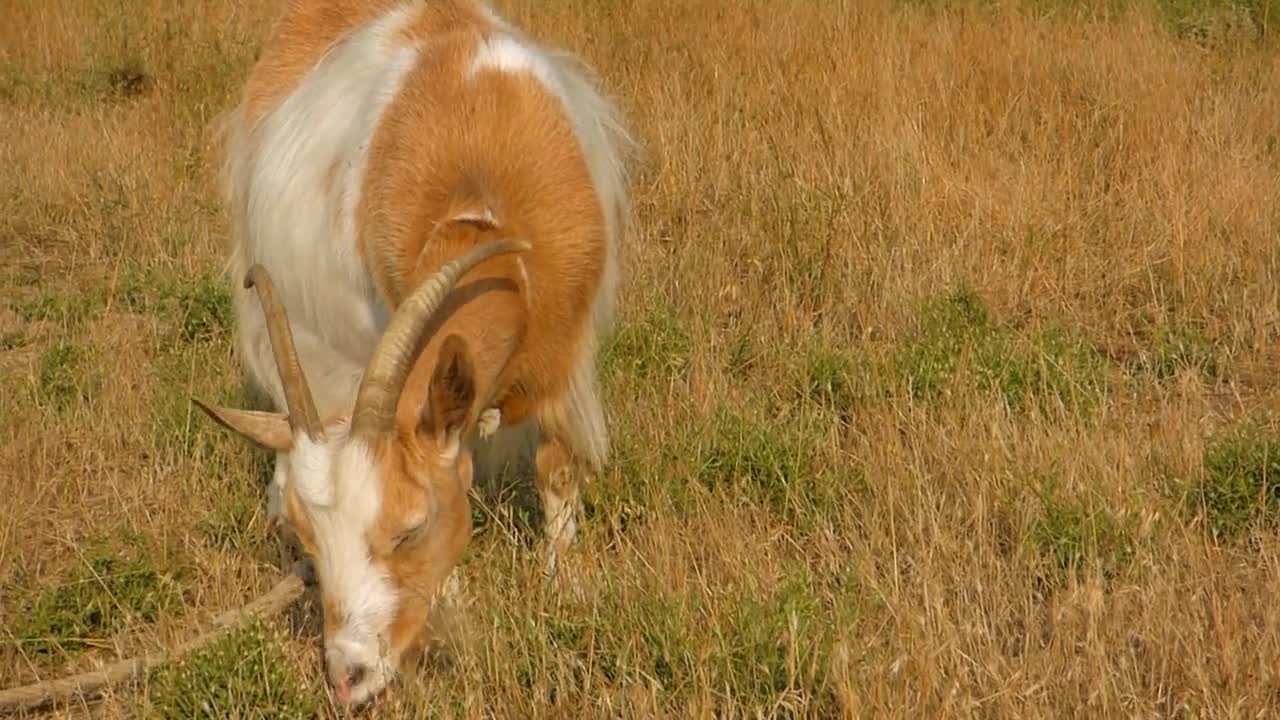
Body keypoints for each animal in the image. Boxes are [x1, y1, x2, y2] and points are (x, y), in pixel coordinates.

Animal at [192, 0, 632, 702]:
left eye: (411, 529)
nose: (347, 675)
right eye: (314, 543)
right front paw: (453, 609)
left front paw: (568, 588)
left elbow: (557, 467)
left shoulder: (567, 354)